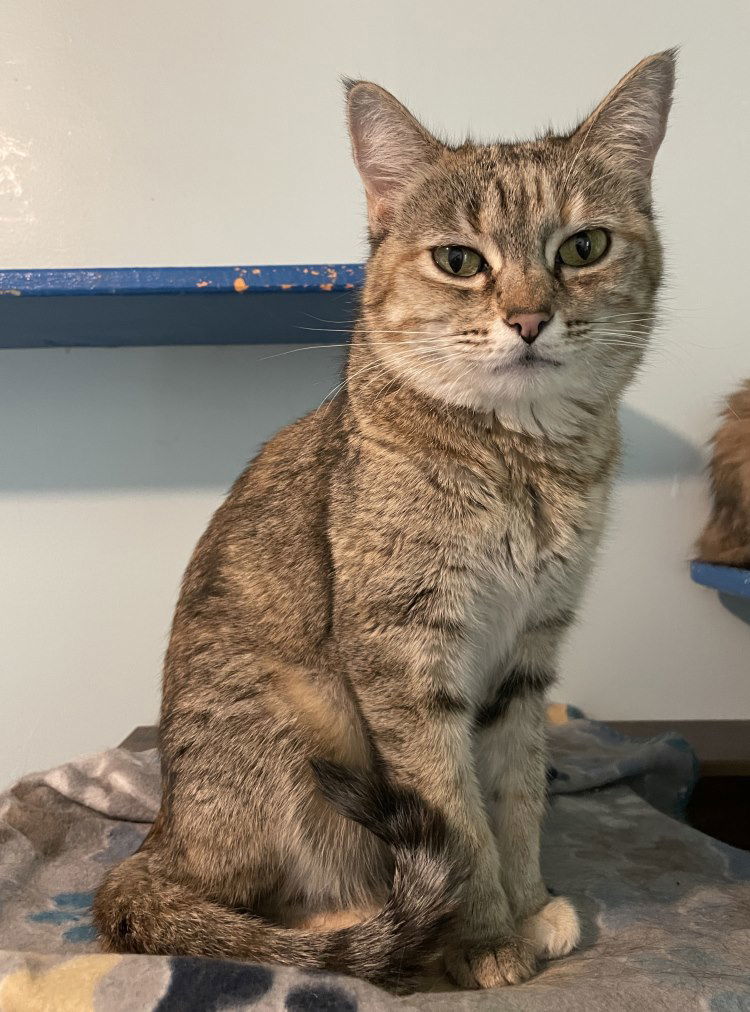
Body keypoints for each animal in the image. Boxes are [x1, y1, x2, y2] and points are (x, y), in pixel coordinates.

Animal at [92, 47, 672, 987]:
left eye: (584, 246)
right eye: (459, 260)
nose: (529, 317)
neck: (523, 463)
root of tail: (158, 844)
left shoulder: (528, 655)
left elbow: (515, 793)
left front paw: (525, 901)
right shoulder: (403, 651)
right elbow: (455, 812)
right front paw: (482, 936)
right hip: (294, 725)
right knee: (266, 917)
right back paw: (383, 925)